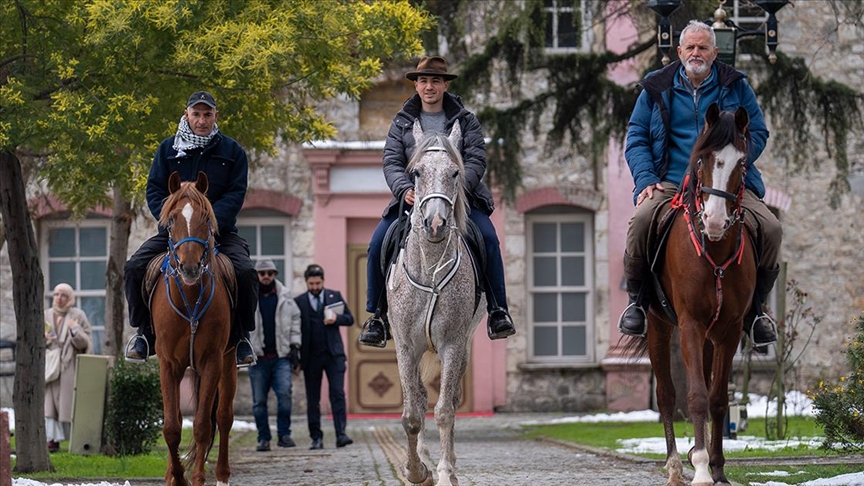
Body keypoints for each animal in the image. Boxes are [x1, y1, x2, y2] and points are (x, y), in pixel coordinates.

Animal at [150, 172, 235, 486]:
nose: (189, 267)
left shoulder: (212, 360)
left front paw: (197, 477)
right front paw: (177, 476)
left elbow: (201, 425)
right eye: (172, 218)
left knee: (223, 416)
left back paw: (221, 474)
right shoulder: (168, 364)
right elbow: (172, 427)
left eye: (205, 217)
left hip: (229, 361)